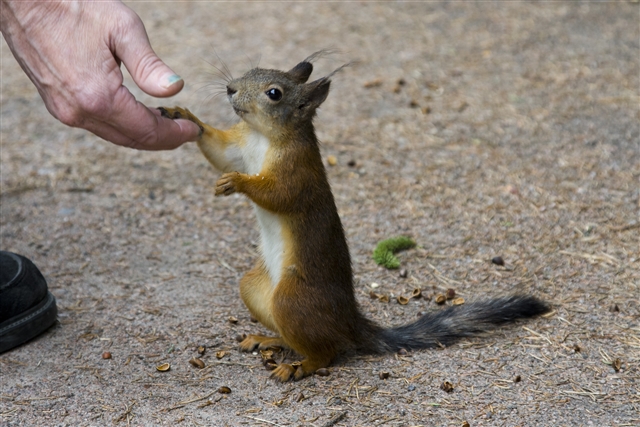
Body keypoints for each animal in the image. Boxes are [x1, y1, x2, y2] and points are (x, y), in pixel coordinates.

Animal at [159, 51, 544, 382]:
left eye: (274, 93)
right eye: (253, 69)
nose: (230, 89)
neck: (261, 137)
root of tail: (349, 321)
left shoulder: (298, 172)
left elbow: (279, 195)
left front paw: (237, 182)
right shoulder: (239, 146)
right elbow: (220, 151)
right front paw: (183, 115)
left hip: (292, 299)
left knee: (327, 351)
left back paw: (298, 366)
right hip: (255, 288)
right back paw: (270, 341)